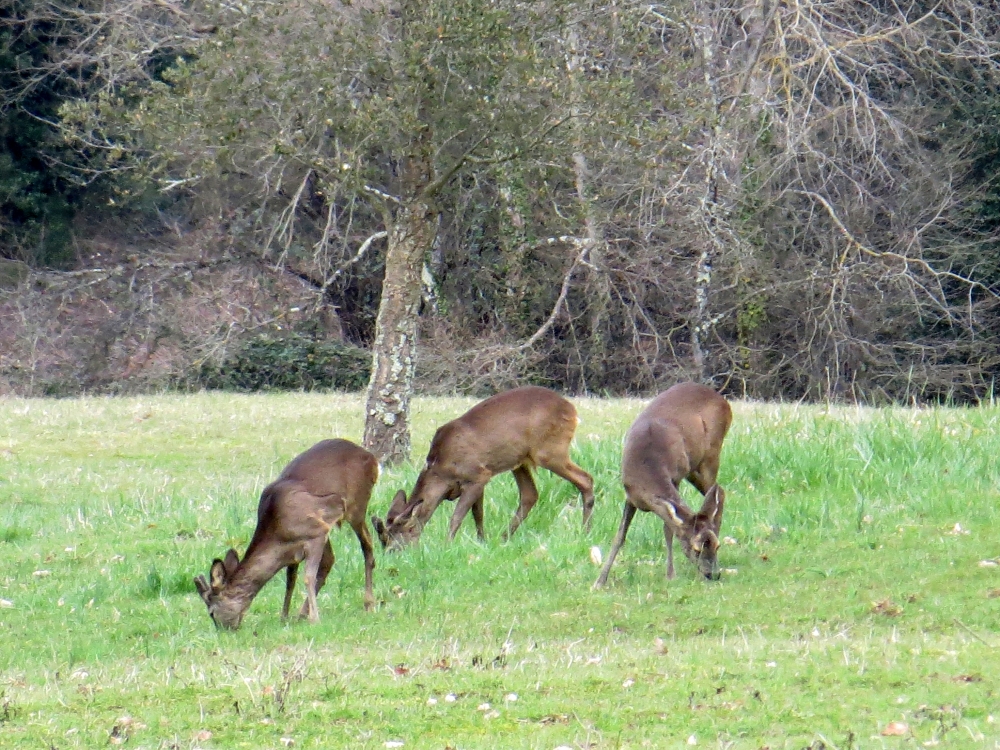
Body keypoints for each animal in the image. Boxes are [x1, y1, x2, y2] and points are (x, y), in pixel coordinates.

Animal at [194, 438, 378, 632]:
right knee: (331, 560)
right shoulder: (294, 550)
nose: (223, 631)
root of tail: (371, 457)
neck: (278, 532)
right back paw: (301, 613)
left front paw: (315, 619)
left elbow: (308, 577)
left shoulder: (316, 532)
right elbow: (290, 581)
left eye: (211, 612)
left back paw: (369, 604)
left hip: (356, 506)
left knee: (367, 547)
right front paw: (284, 617)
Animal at [374, 388, 592, 552]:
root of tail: (572, 410)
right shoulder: (478, 479)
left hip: (549, 450)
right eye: (383, 540)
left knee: (586, 479)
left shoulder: (478, 475)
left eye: (395, 538)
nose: (390, 554)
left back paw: (585, 532)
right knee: (530, 494)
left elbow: (457, 516)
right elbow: (478, 514)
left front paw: (447, 545)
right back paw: (504, 537)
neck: (441, 472)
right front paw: (482, 541)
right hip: (520, 461)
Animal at [588, 384, 732, 592]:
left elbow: (668, 528)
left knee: (718, 491)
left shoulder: (675, 477)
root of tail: (722, 400)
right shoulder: (630, 495)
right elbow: (620, 536)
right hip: (693, 467)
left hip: (711, 454)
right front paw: (599, 581)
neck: (646, 467)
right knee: (718, 492)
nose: (713, 574)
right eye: (696, 549)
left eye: (717, 546)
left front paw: (670, 575)